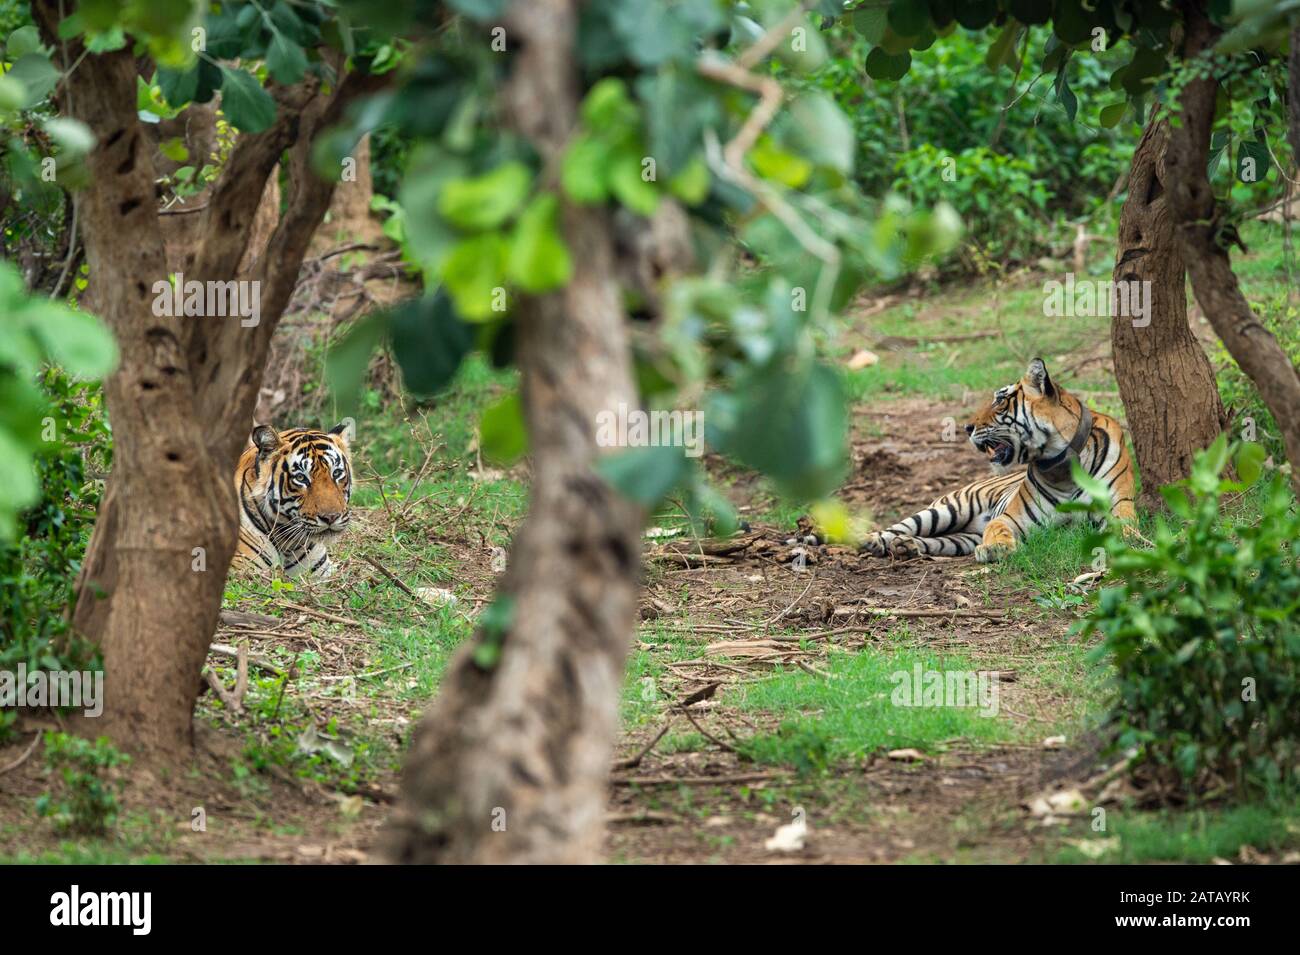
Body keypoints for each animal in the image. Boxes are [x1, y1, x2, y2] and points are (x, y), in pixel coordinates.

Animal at [857, 361, 1133, 563]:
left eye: (1000, 400)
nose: (966, 427)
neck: (1061, 467)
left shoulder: (1120, 506)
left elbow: (1124, 529)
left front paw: (1130, 544)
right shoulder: (1009, 517)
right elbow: (997, 528)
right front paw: (995, 548)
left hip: (962, 538)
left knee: (936, 540)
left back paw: (907, 547)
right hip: (947, 510)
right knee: (900, 526)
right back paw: (870, 540)